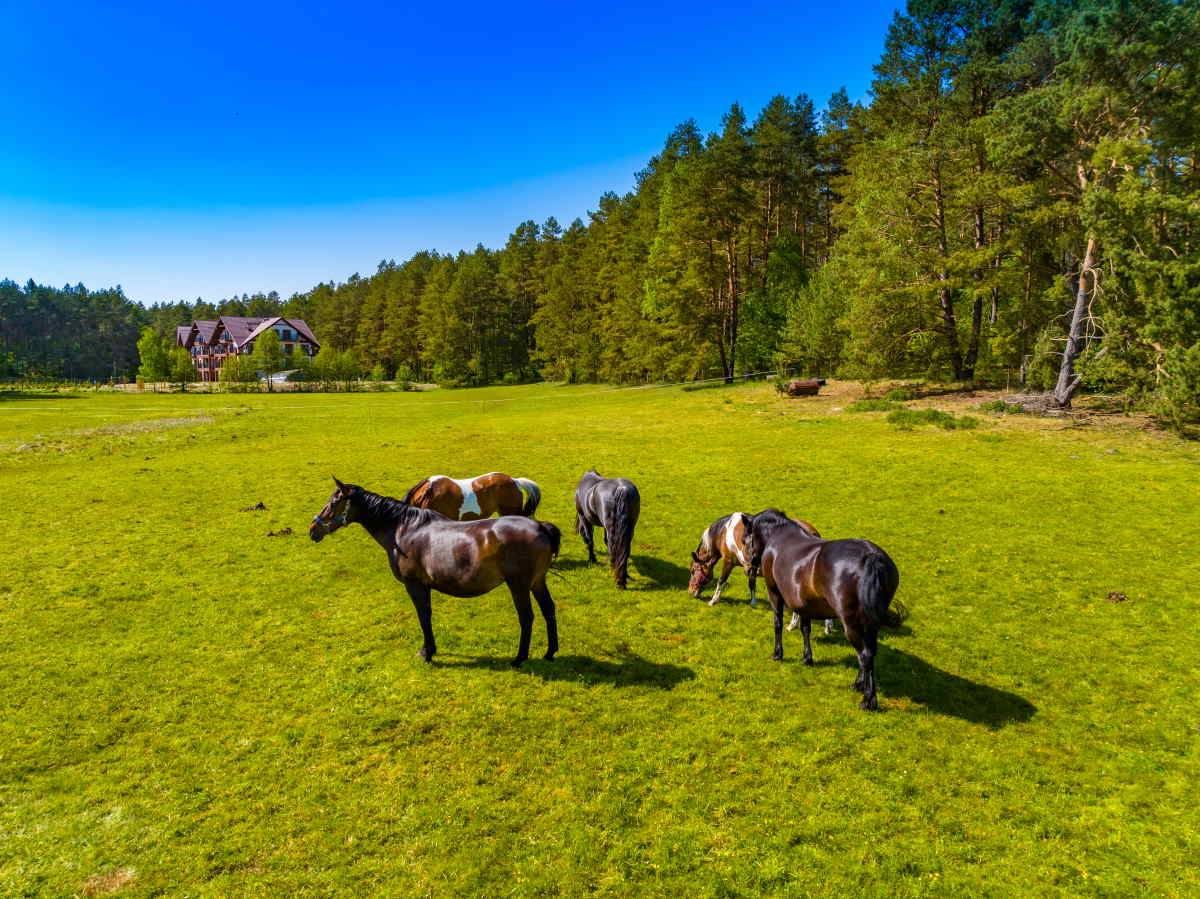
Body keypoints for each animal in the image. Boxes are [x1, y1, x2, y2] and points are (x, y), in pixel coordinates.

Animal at [304, 477, 556, 667]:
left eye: (333, 502)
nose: (312, 529)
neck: (404, 529)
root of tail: (539, 526)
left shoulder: (415, 585)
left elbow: (423, 616)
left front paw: (427, 652)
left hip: (519, 585)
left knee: (527, 617)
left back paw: (520, 658)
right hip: (537, 582)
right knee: (548, 610)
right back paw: (550, 652)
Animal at [744, 511, 902, 710]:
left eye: (746, 539)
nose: (749, 566)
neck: (778, 535)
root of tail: (872, 557)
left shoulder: (774, 592)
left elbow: (777, 623)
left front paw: (778, 654)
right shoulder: (804, 605)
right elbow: (805, 629)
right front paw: (807, 658)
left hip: (852, 623)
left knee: (864, 655)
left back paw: (868, 699)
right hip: (870, 624)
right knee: (870, 652)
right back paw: (858, 684)